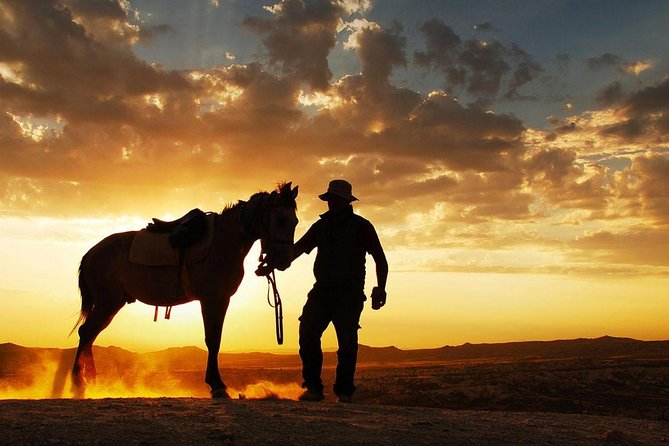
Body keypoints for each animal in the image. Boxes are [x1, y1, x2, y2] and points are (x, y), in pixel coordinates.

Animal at [70, 181, 298, 398]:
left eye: (295, 221)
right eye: (280, 219)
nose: (284, 260)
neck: (224, 242)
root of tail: (91, 253)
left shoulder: (222, 299)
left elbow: (216, 338)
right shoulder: (210, 298)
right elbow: (212, 339)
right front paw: (217, 385)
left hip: (111, 304)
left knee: (90, 334)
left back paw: (90, 380)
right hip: (107, 303)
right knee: (87, 332)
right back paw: (78, 383)